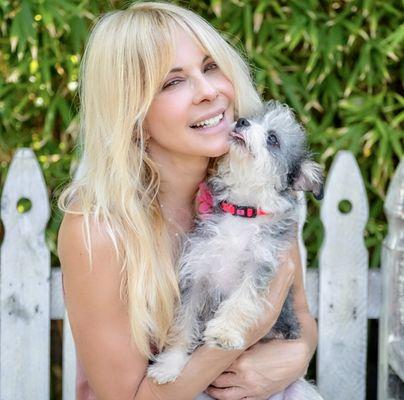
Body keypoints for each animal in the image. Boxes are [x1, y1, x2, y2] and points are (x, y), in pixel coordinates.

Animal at [148, 101, 326, 400]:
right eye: (250, 118)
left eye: (273, 138)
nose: (241, 122)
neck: (242, 213)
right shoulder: (197, 273)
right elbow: (183, 323)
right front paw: (169, 364)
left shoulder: (259, 267)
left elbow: (240, 302)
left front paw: (224, 332)